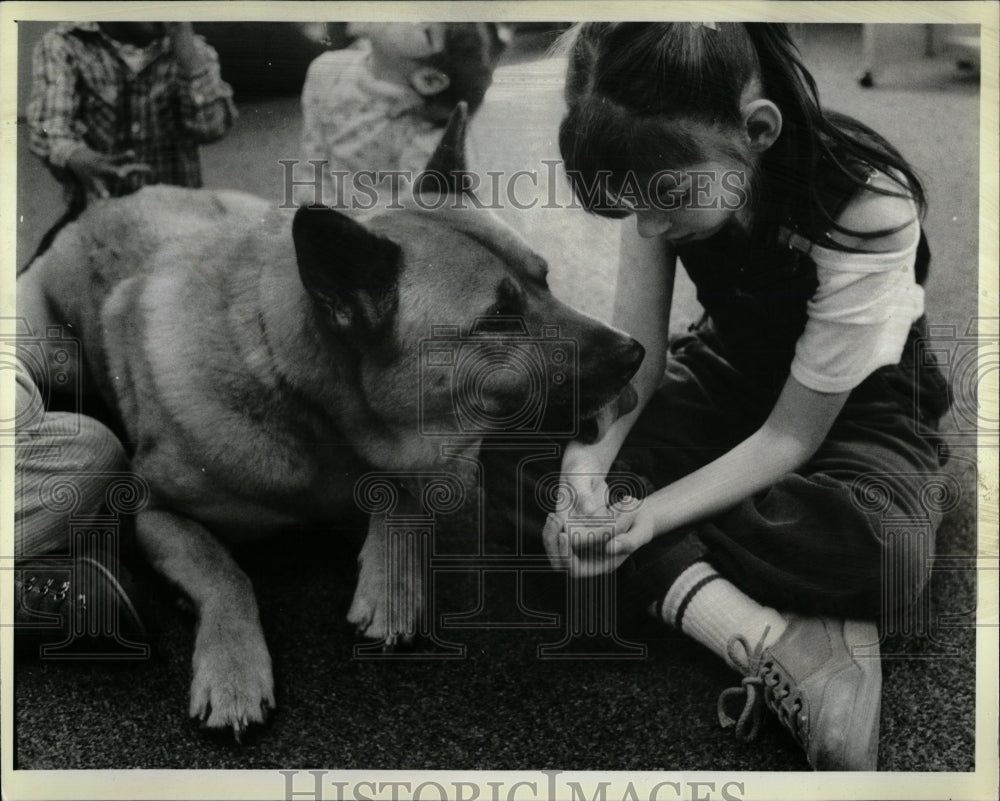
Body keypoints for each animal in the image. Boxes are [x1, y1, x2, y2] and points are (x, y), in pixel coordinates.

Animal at [19, 106, 644, 736]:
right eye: (499, 319)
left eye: (546, 279)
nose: (636, 352)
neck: (309, 414)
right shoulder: (152, 510)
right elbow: (223, 571)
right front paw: (233, 665)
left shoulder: (440, 458)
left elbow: (403, 494)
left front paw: (391, 582)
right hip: (55, 355)